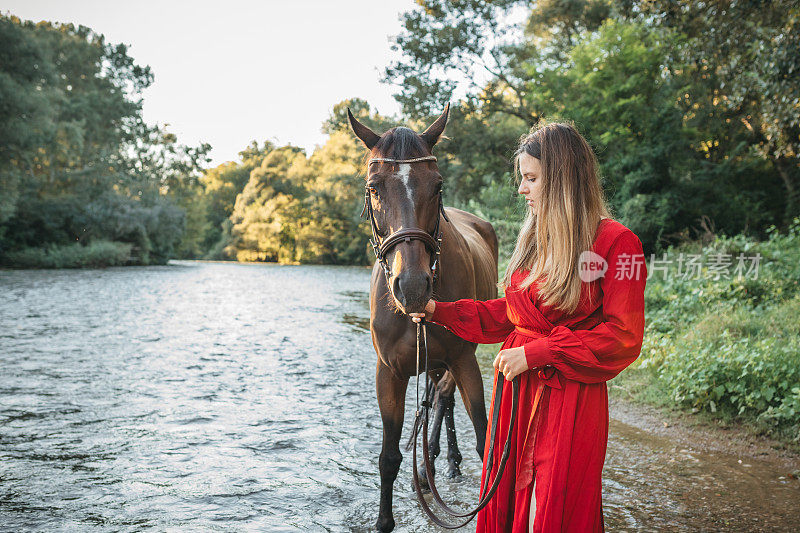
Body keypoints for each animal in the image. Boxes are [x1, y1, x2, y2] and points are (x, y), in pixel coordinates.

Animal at [346, 106, 496, 528]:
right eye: (373, 188)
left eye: (438, 186)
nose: (412, 286)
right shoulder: (389, 373)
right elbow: (389, 457)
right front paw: (384, 521)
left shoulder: (464, 361)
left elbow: (483, 438)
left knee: (442, 400)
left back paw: (443, 463)